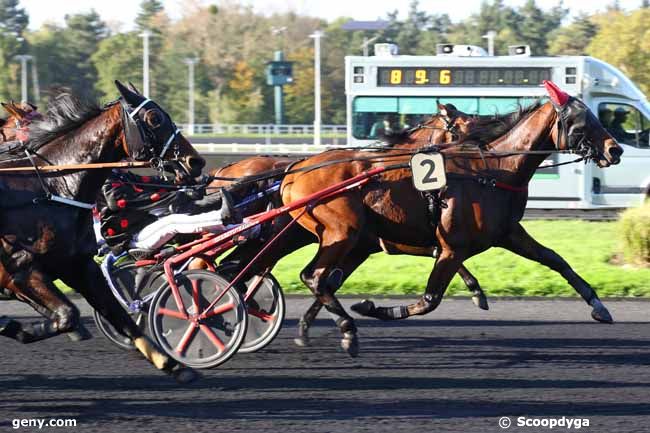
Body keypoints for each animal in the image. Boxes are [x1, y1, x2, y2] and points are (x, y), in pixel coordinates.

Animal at [0, 81, 205, 382]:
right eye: (154, 118)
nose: (195, 162)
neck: (52, 189)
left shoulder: (79, 265)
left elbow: (119, 316)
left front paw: (172, 364)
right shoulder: (20, 271)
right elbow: (67, 315)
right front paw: (13, 326)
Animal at [280, 80, 624, 354]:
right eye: (580, 120)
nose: (615, 150)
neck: (493, 171)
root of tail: (295, 171)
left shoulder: (508, 233)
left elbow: (555, 259)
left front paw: (598, 306)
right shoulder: (451, 247)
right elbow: (430, 299)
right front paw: (371, 307)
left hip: (353, 242)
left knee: (326, 279)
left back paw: (313, 327)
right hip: (341, 232)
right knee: (314, 276)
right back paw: (346, 329)